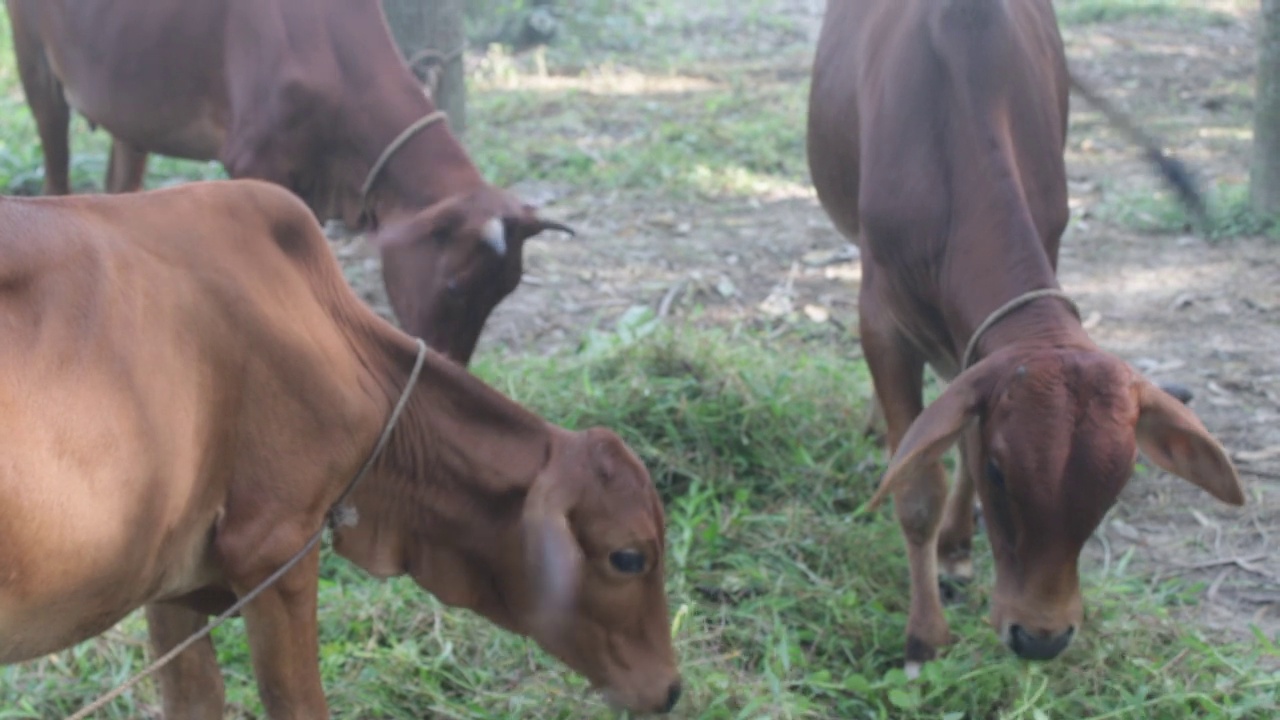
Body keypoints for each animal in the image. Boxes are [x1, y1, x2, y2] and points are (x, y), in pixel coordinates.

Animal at [5, 0, 565, 363]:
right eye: (454, 286)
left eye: (506, 289)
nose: (452, 365)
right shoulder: (254, 164)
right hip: (36, 63)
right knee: (55, 171)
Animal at [808, 0, 1239, 671]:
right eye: (1003, 473)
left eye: (1118, 483)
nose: (1042, 636)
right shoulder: (881, 316)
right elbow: (918, 485)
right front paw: (924, 637)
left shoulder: (990, 328)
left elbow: (956, 436)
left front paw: (957, 551)